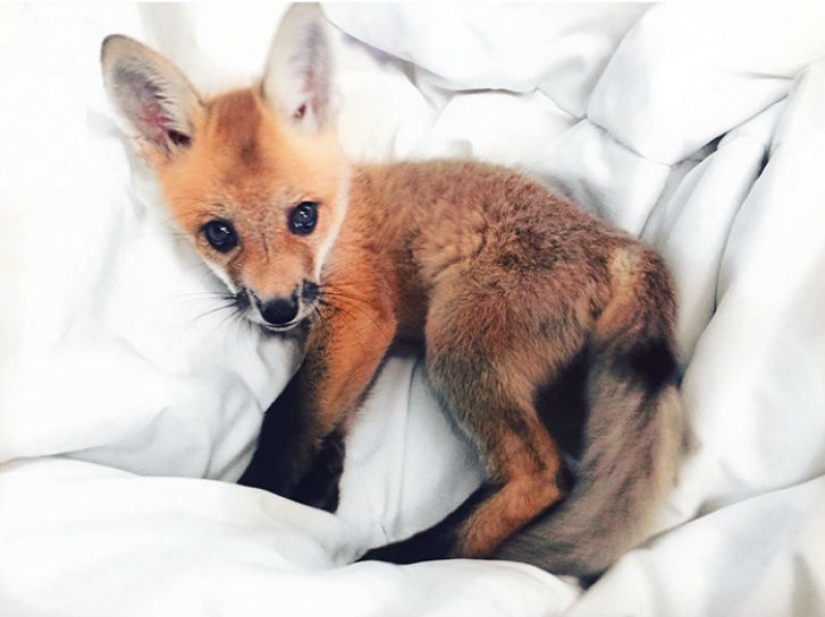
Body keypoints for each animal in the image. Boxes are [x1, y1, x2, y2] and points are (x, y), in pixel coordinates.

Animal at [100, 4, 686, 579]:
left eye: (303, 217)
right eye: (220, 234)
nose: (278, 311)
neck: (342, 219)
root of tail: (618, 243)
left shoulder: (359, 312)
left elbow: (289, 413)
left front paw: (261, 495)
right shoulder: (366, 338)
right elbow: (330, 412)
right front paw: (320, 479)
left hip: (457, 346)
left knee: (542, 475)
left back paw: (409, 556)